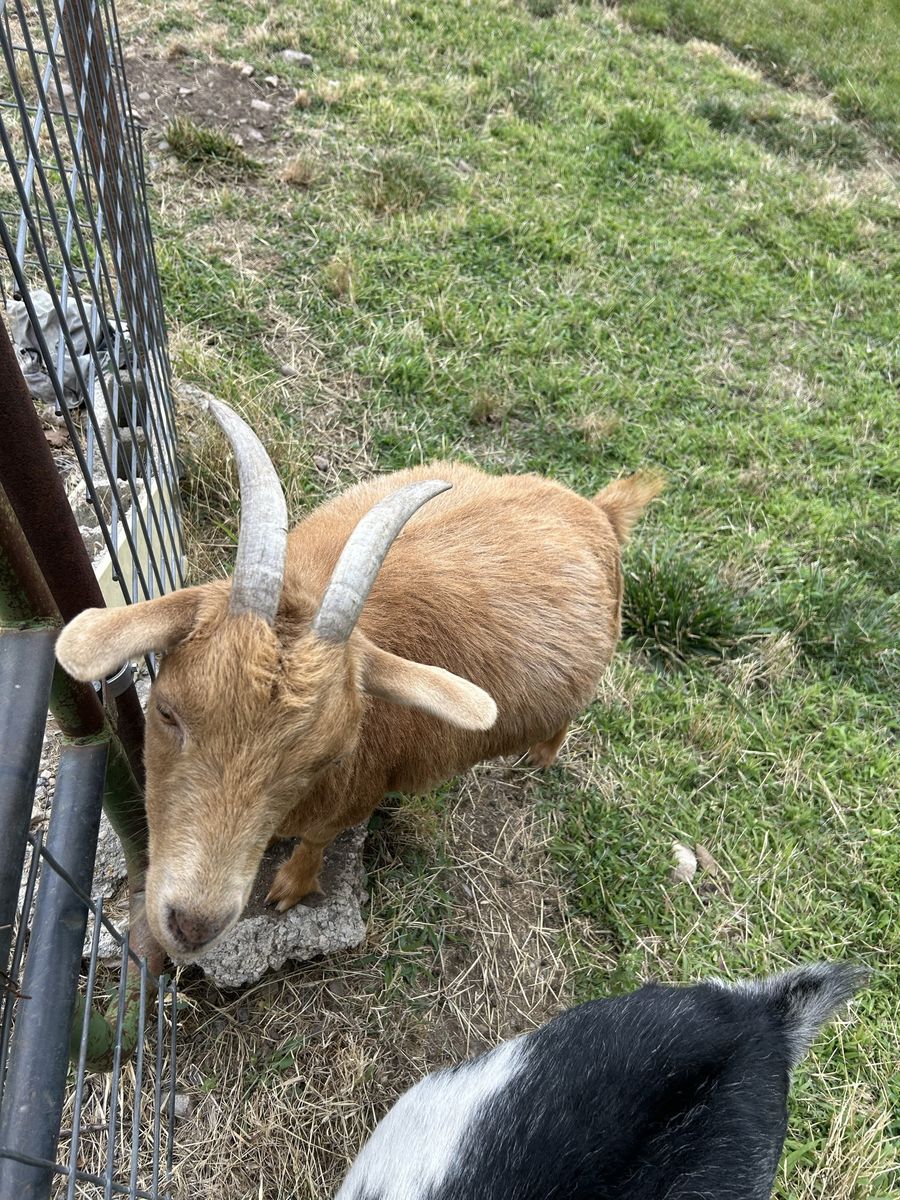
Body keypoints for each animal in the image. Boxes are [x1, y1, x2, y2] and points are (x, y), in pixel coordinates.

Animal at [55, 398, 661, 961]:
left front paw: (289, 888)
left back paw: (539, 757)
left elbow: (318, 839)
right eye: (166, 712)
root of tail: (600, 512)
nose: (192, 925)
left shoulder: (359, 793)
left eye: (325, 759)